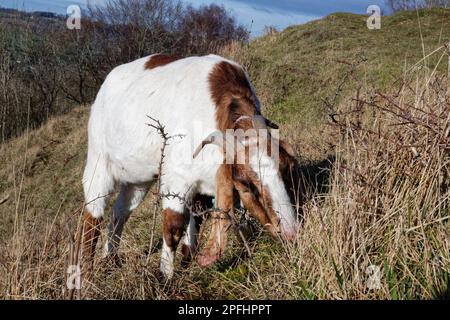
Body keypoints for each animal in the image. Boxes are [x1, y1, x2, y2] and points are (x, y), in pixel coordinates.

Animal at [80, 53, 302, 278]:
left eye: (287, 171)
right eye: (247, 183)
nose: (291, 232)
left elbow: (195, 218)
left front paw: (188, 259)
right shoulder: (175, 179)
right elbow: (174, 227)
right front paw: (165, 277)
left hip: (137, 181)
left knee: (119, 212)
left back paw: (110, 259)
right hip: (98, 162)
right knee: (92, 217)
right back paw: (87, 273)